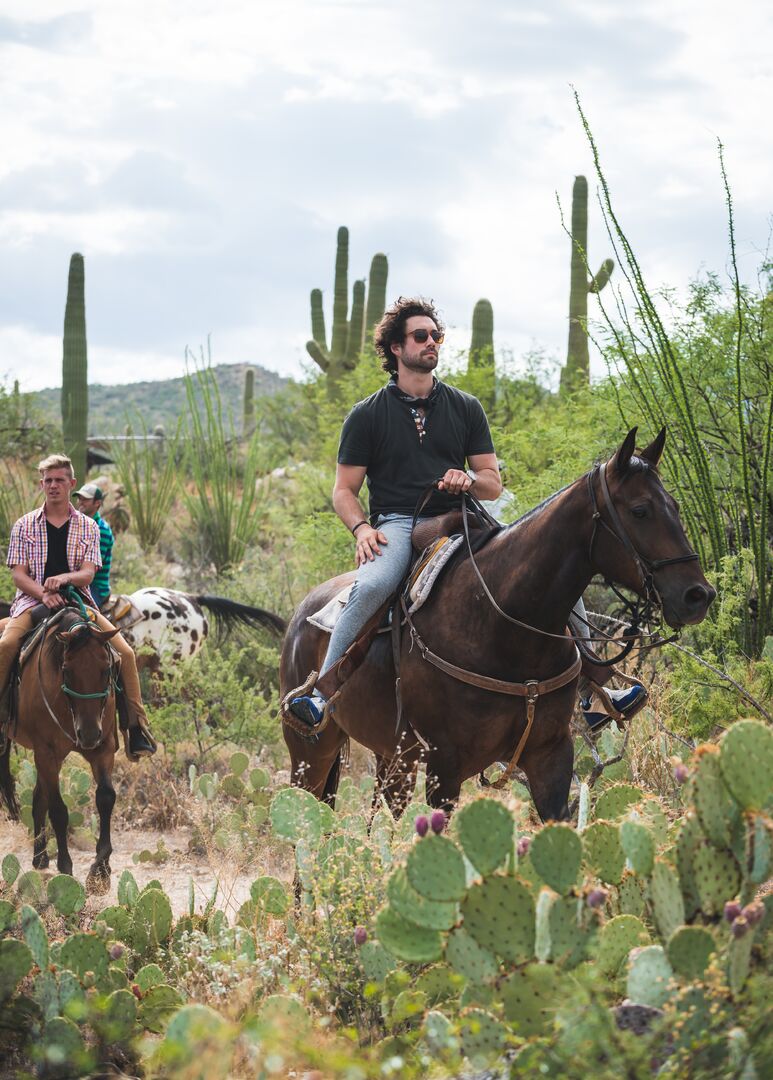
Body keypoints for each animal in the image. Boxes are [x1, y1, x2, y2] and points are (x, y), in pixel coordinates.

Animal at [0, 604, 122, 889]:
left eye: (106, 669)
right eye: (67, 670)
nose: (87, 733)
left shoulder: (103, 748)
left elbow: (105, 798)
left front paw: (100, 871)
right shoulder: (47, 752)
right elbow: (58, 810)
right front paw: (66, 868)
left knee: (37, 798)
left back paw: (40, 857)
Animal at [280, 429, 716, 816]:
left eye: (675, 506)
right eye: (640, 510)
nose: (698, 595)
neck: (506, 628)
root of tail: (300, 615)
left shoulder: (550, 755)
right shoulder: (444, 767)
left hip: (395, 756)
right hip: (311, 753)